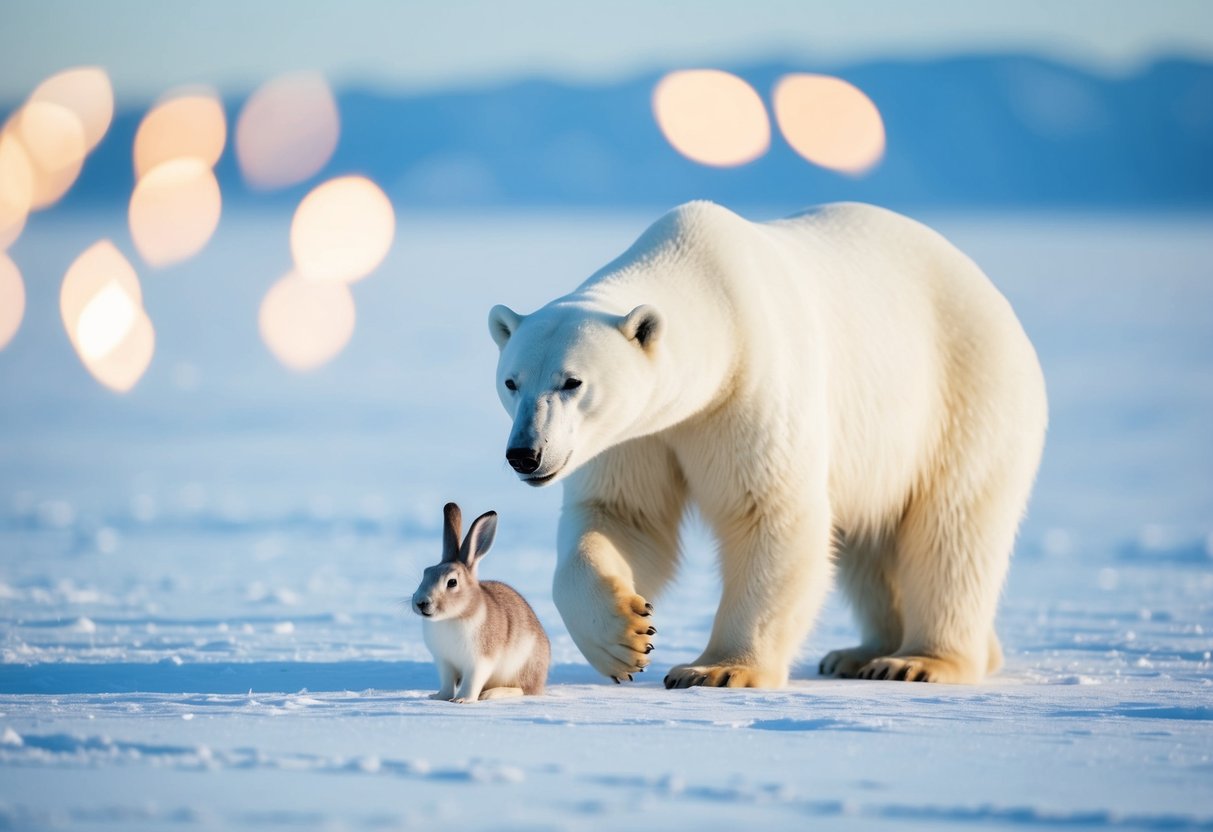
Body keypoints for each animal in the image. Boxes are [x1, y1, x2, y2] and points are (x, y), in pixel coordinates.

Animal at [411, 502, 550, 703]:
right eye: (426, 572)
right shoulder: (444, 662)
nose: (421, 603)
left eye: (452, 582)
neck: (453, 617)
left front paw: (462, 700)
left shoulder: (480, 661)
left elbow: (472, 682)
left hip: (522, 666)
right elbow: (447, 684)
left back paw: (491, 693)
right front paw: (438, 697)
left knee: (523, 689)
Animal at [488, 201, 1047, 689]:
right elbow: (623, 515)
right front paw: (624, 640)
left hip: (965, 398)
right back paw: (860, 653)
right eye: (512, 382)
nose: (525, 454)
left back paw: (917, 660)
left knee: (952, 529)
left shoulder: (753, 387)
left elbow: (769, 512)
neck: (714, 296)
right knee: (871, 544)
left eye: (572, 382)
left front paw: (716, 669)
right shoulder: (636, 434)